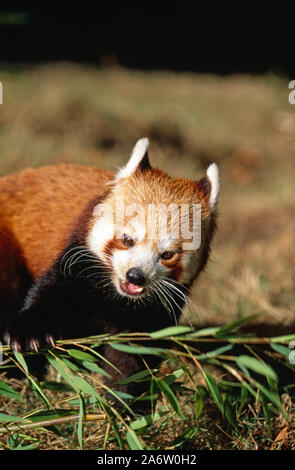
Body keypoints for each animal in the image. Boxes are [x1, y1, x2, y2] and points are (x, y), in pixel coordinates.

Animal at [0, 139, 220, 392]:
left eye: (167, 254)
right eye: (127, 240)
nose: (136, 276)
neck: (116, 297)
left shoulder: (154, 309)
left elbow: (131, 354)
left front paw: (125, 394)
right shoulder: (77, 263)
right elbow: (50, 293)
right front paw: (28, 333)